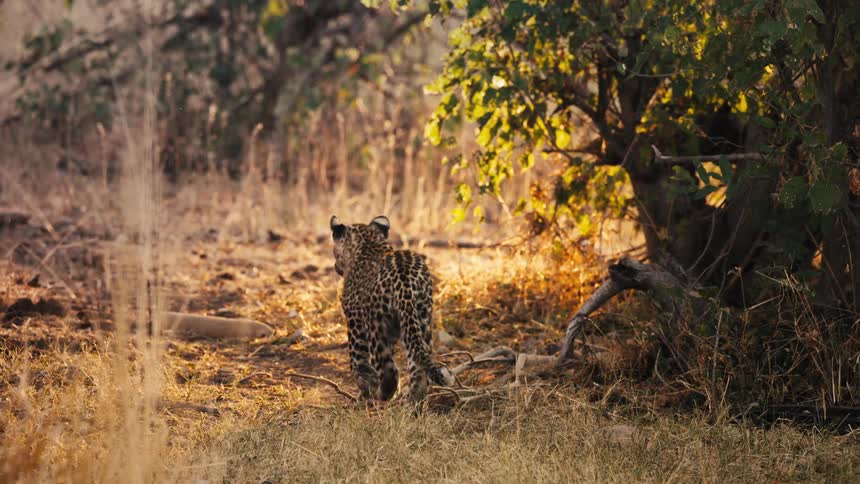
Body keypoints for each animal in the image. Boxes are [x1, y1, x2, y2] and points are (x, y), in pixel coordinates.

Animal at [330, 214, 454, 402]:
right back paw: (410, 400)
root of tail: (404, 282)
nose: (335, 266)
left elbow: (358, 361)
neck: (368, 243)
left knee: (388, 370)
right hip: (420, 318)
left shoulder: (354, 320)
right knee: (418, 367)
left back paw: (383, 395)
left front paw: (364, 390)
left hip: (376, 326)